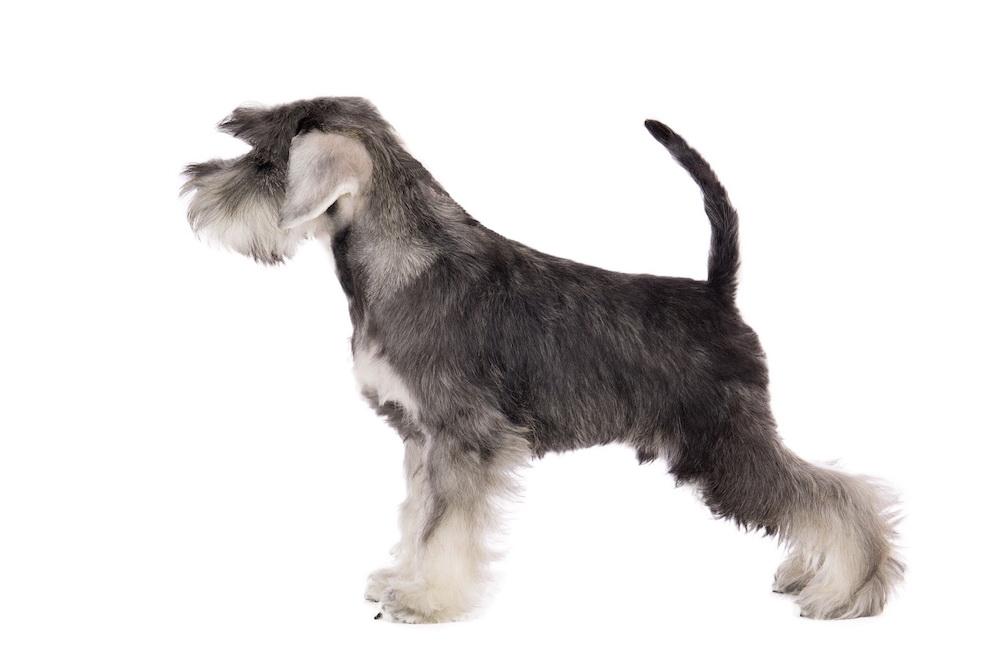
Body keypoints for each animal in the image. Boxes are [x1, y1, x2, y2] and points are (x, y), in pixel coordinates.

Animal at [182, 97, 903, 622]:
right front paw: (401, 576)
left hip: (722, 443)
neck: (398, 266)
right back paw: (813, 574)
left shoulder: (464, 438)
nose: (195, 191)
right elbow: (418, 516)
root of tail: (716, 293)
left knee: (837, 496)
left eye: (265, 163)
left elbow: (445, 526)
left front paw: (427, 599)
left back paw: (847, 589)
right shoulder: (421, 438)